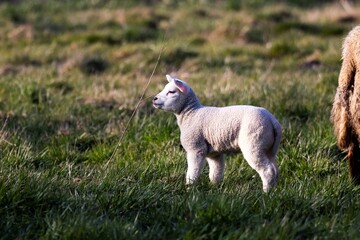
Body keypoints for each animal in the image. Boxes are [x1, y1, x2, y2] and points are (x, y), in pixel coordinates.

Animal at [152, 75, 282, 191]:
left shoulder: (196, 148)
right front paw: (214, 188)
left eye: (171, 92)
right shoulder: (214, 153)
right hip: (269, 148)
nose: (154, 99)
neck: (191, 113)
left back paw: (266, 192)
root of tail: (272, 120)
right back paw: (274, 190)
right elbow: (215, 172)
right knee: (275, 168)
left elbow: (193, 170)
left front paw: (189, 187)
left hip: (254, 142)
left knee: (267, 170)